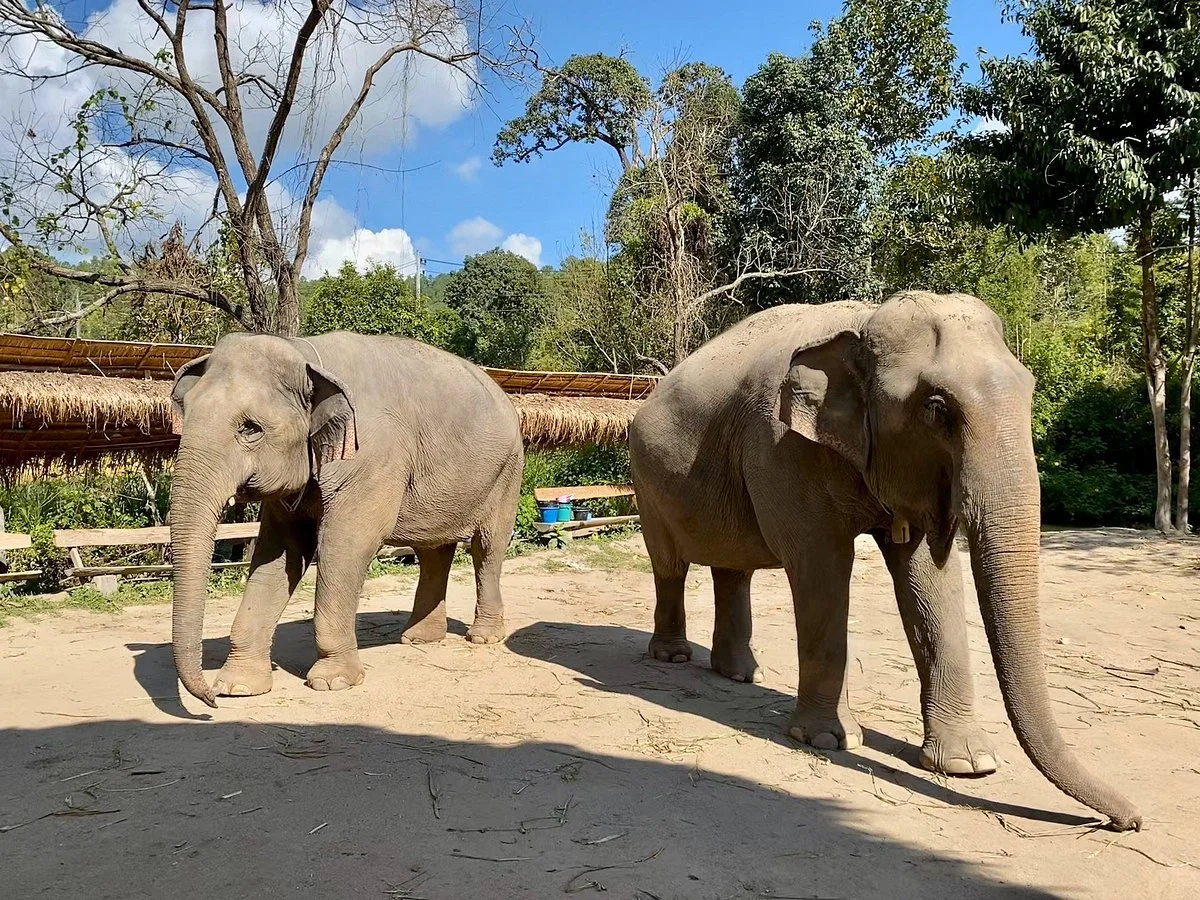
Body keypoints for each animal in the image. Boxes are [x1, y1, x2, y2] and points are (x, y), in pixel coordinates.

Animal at [168, 331, 523, 708]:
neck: (305, 354)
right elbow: (279, 555)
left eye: (250, 429)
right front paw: (238, 687)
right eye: (186, 416)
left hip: (507, 471)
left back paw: (482, 637)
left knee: (487, 549)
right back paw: (419, 639)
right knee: (433, 552)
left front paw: (333, 682)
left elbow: (344, 547)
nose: (210, 701)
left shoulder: (372, 458)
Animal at [628, 290, 1141, 831]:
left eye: (1031, 390)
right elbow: (822, 566)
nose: (1128, 820)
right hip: (645, 480)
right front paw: (828, 741)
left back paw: (743, 675)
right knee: (670, 565)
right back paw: (673, 657)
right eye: (937, 410)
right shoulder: (781, 447)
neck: (864, 320)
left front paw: (969, 764)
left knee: (733, 566)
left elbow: (930, 578)